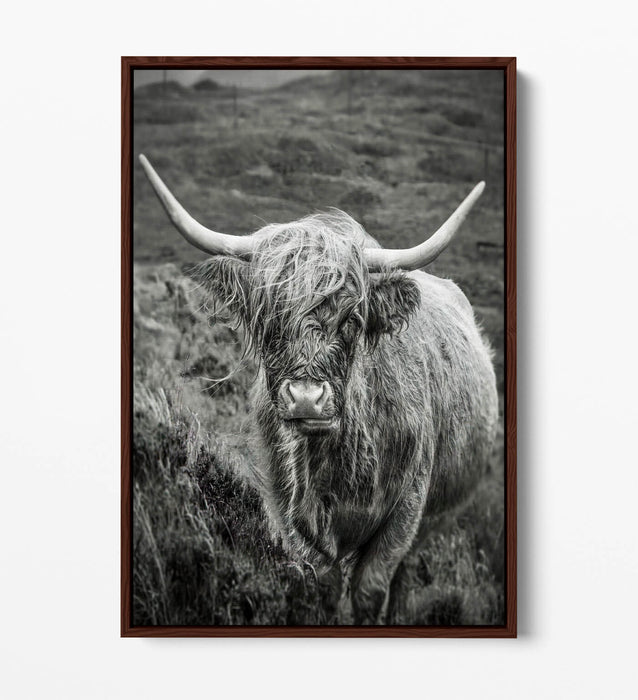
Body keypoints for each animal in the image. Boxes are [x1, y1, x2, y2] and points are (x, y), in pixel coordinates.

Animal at [139, 154, 499, 624]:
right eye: (268, 319)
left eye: (352, 319)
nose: (307, 398)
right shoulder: (288, 511)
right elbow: (323, 585)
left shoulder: (406, 509)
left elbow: (372, 587)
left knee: (405, 576)